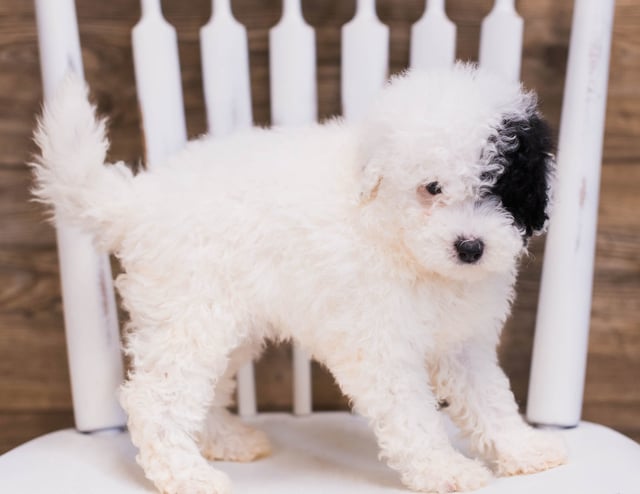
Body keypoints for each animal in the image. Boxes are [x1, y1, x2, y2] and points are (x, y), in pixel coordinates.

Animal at [32, 63, 568, 492]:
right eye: (432, 187)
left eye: (504, 188)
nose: (470, 247)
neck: (400, 240)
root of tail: (139, 199)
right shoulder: (380, 347)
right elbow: (414, 417)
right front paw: (445, 470)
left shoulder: (464, 342)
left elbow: (489, 398)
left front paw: (524, 451)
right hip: (190, 316)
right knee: (155, 400)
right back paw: (188, 476)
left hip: (226, 326)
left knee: (205, 388)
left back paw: (226, 440)